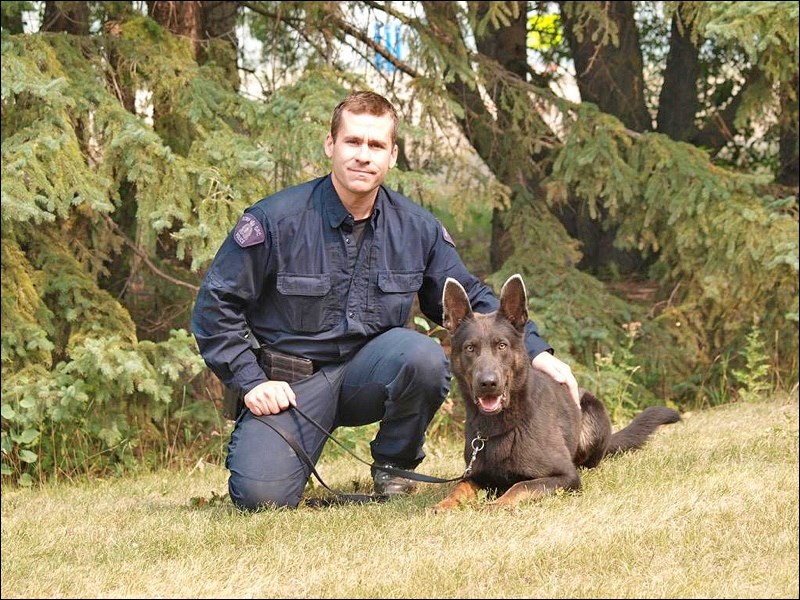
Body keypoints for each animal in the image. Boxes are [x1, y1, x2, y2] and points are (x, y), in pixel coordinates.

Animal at [432, 276, 680, 510]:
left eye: (501, 345)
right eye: (470, 348)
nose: (488, 383)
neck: (499, 427)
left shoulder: (565, 477)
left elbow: (520, 486)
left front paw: (498, 504)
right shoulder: (476, 475)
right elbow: (460, 486)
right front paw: (444, 504)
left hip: (593, 416)